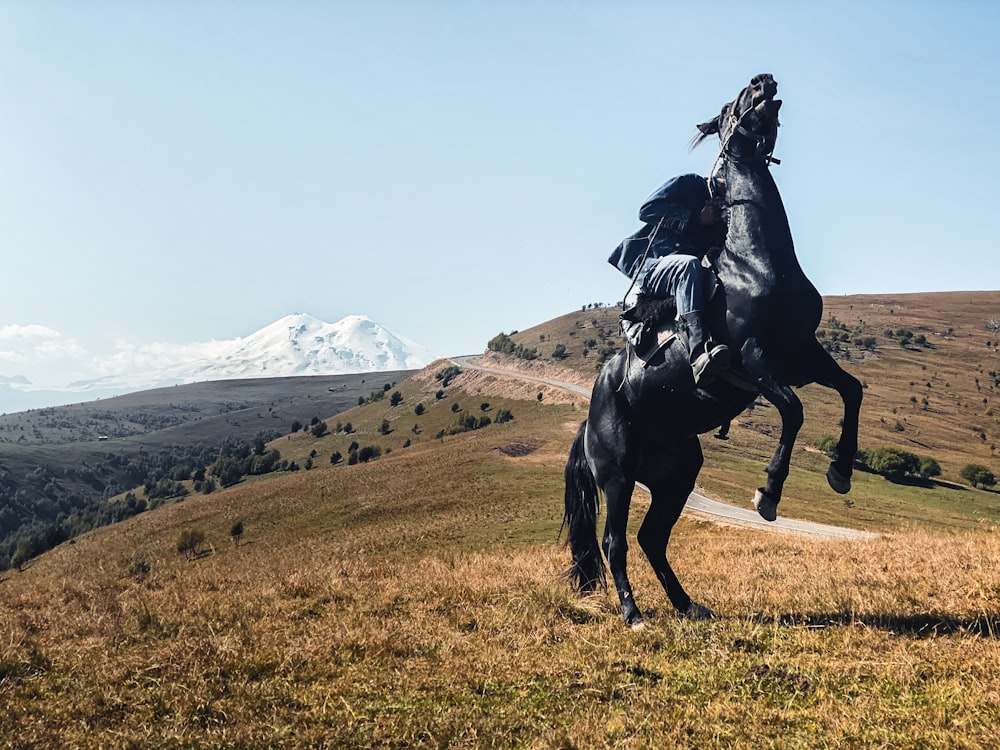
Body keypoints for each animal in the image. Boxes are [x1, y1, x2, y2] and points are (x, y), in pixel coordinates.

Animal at [568, 76, 864, 628]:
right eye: (731, 106)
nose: (764, 81)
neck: (755, 260)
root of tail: (590, 415)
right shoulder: (752, 356)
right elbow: (794, 410)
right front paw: (768, 494)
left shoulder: (802, 354)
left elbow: (851, 390)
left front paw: (840, 471)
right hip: (618, 476)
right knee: (616, 541)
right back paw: (633, 614)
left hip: (676, 477)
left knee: (652, 539)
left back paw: (688, 605)